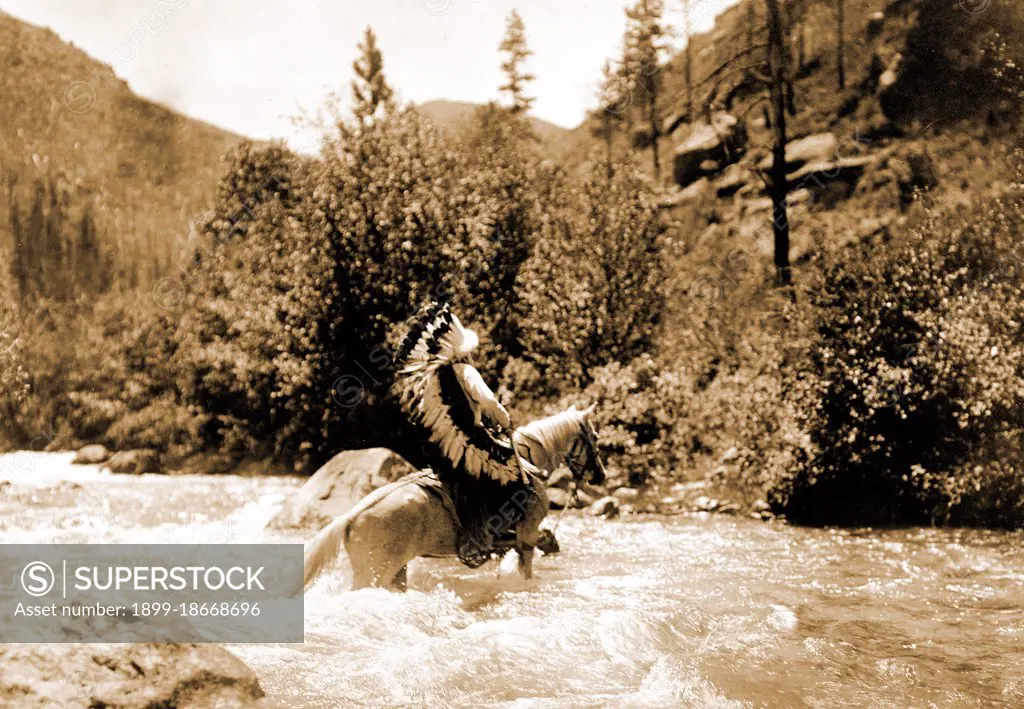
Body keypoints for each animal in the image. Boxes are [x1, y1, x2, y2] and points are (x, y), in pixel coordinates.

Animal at [299, 403, 602, 594]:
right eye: (596, 438)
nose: (601, 475)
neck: (528, 464)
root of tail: (350, 518)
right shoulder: (526, 535)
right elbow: (528, 565)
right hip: (373, 573)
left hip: (396, 571)